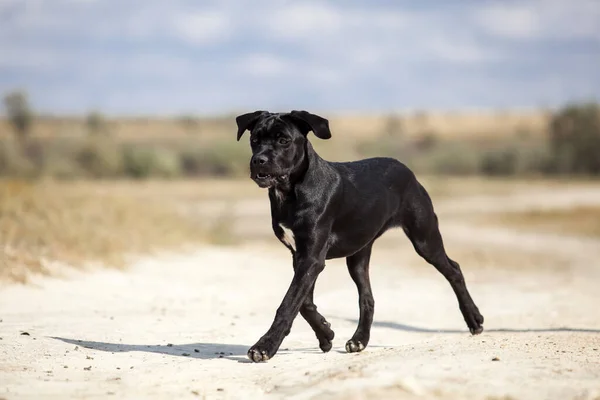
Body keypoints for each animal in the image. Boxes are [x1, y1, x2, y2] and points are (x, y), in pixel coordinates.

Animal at [234, 109, 482, 362]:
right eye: (254, 139)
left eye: (284, 140)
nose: (258, 160)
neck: (291, 192)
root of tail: (405, 168)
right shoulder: (301, 256)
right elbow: (304, 303)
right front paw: (325, 333)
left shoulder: (312, 258)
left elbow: (289, 303)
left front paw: (265, 346)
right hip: (358, 256)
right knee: (367, 298)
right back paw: (360, 339)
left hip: (424, 239)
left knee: (454, 269)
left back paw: (474, 319)